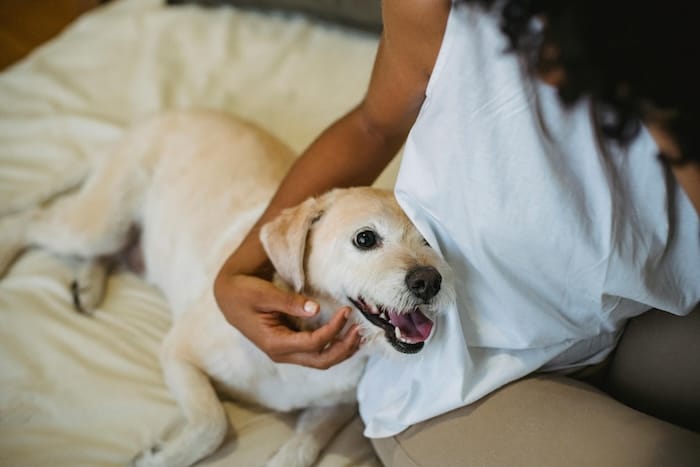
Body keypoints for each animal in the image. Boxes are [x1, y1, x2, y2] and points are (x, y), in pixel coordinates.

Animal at [0, 110, 454, 467]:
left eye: (429, 239)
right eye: (365, 239)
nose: (429, 281)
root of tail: (155, 118)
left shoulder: (336, 407)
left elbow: (303, 447)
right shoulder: (178, 351)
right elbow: (213, 425)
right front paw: (162, 457)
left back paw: (88, 284)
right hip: (100, 223)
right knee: (31, 222)